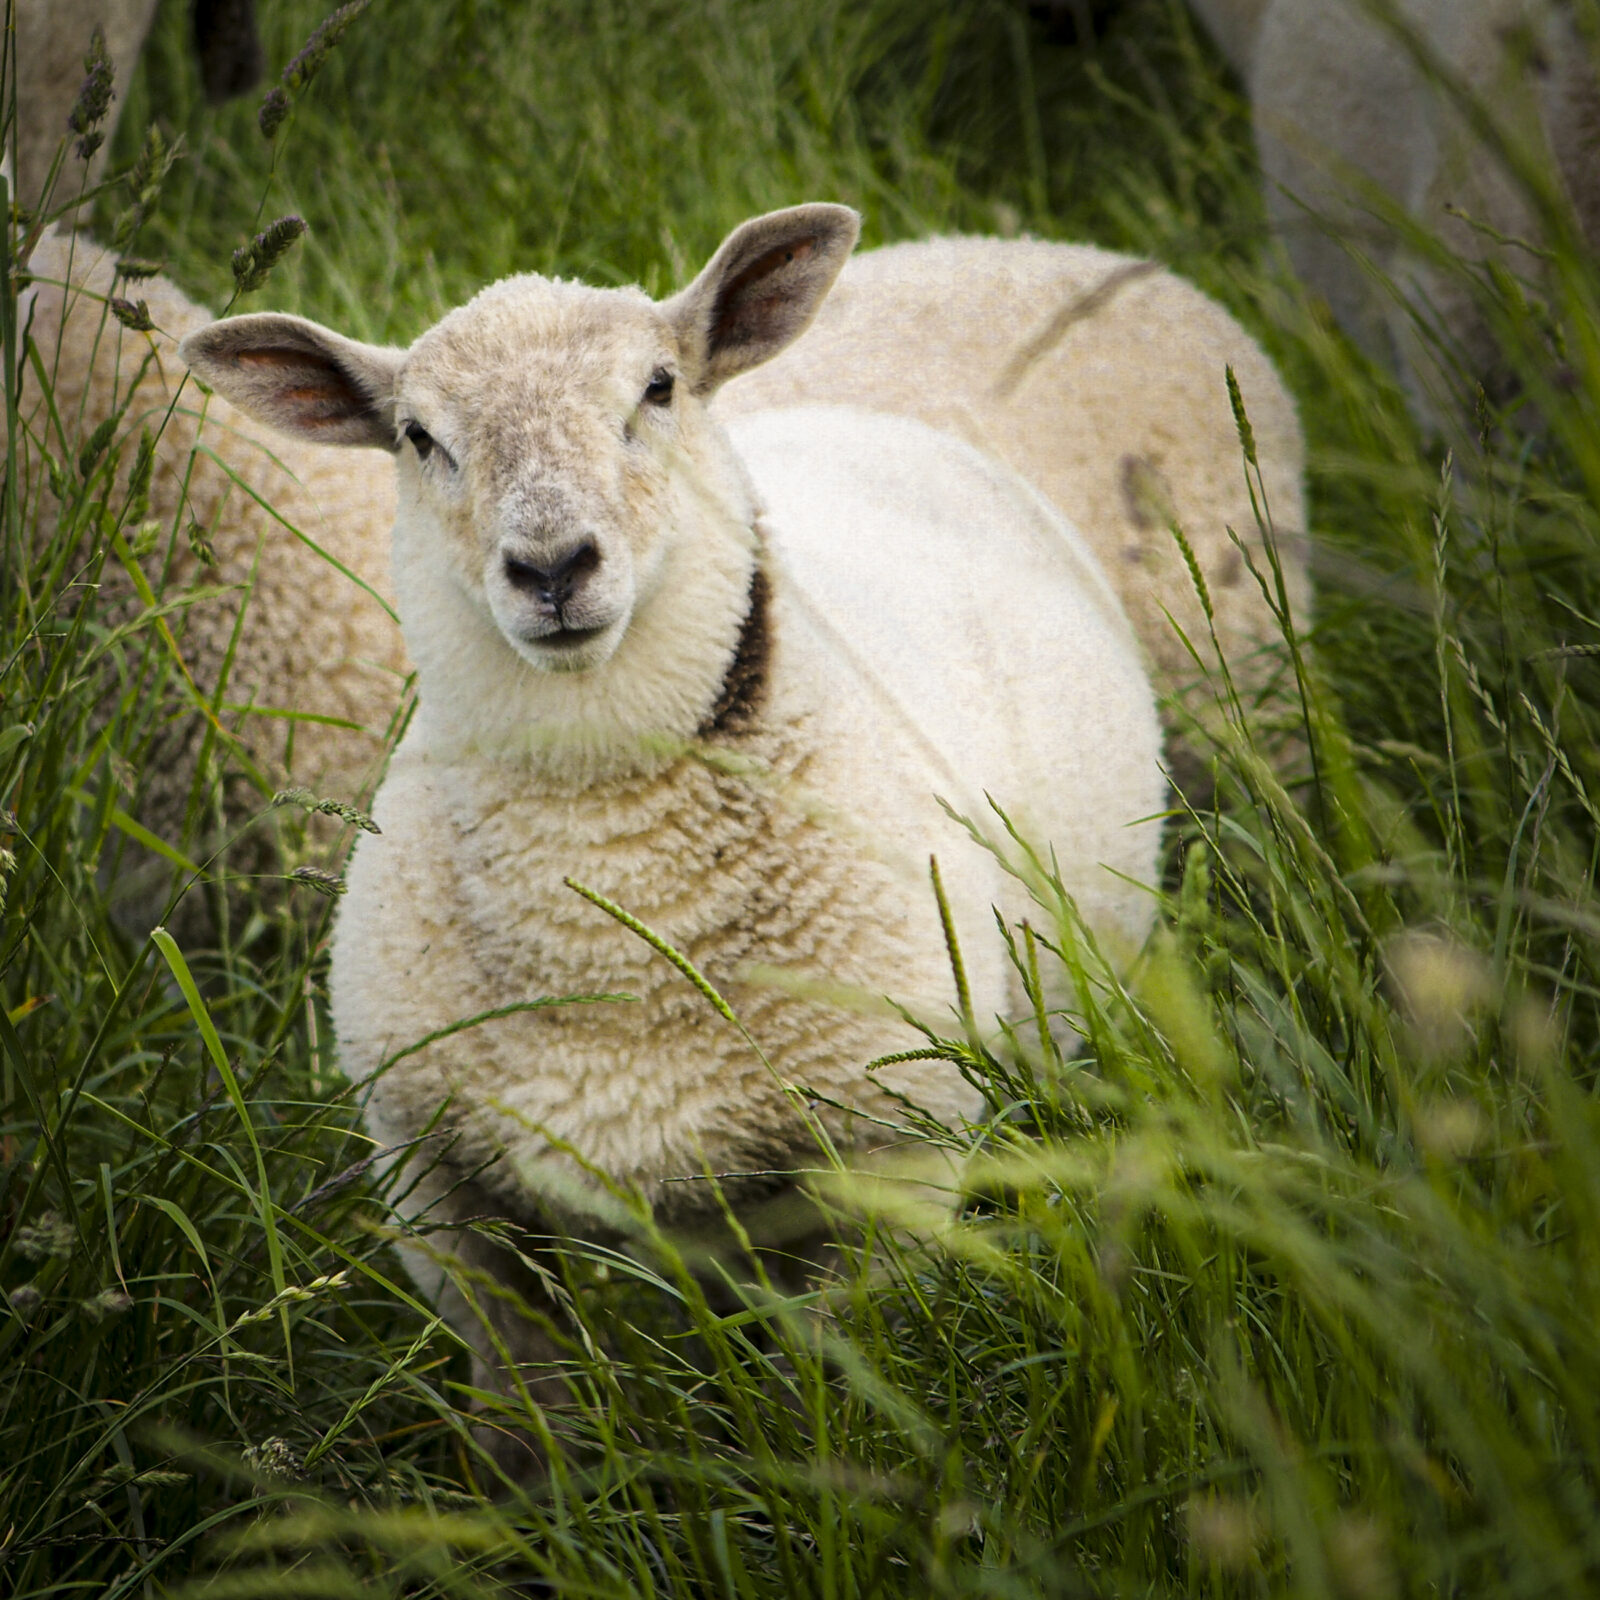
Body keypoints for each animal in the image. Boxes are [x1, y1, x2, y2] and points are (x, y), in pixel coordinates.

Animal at [179, 203, 1169, 1461]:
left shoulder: (899, 1154)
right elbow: (528, 1413)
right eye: (417, 435)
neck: (606, 876)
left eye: (655, 387)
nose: (552, 567)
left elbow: (839, 1393)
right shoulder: (433, 1177)